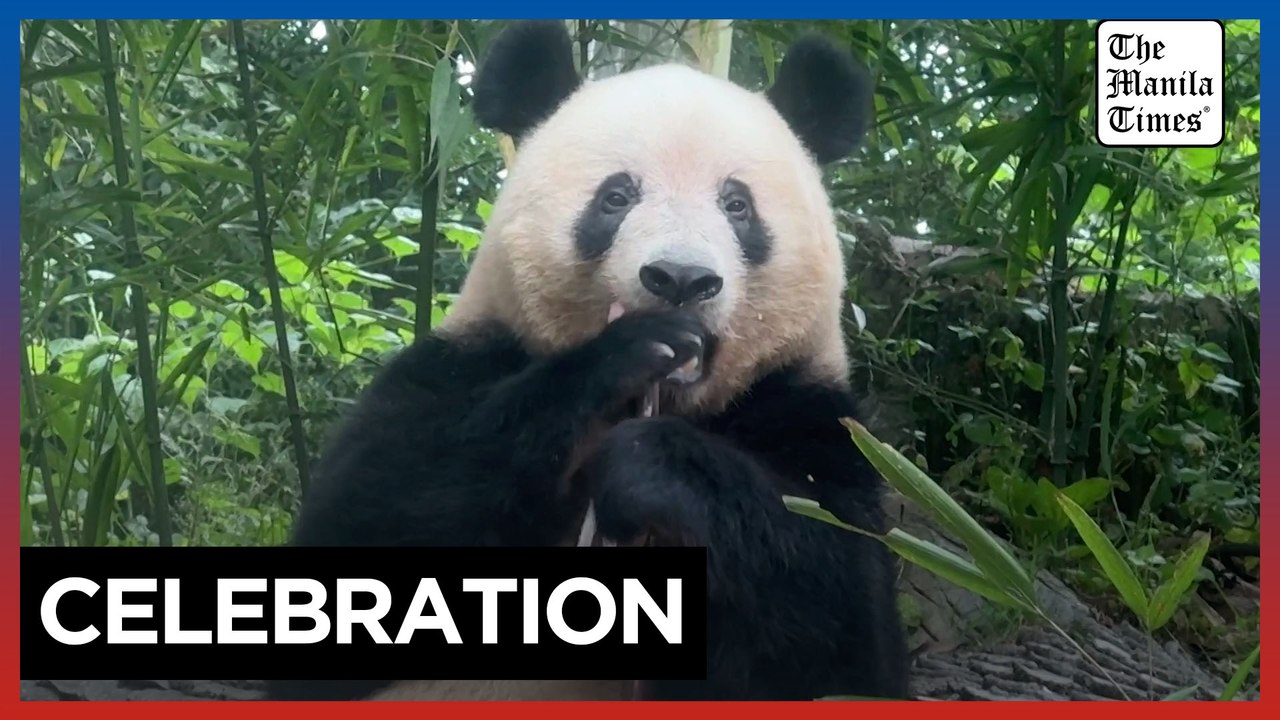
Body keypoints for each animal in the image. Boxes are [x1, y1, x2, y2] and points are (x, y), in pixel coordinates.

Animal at [267, 20, 909, 702]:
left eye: (737, 206)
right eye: (617, 197)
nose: (679, 279)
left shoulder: (808, 412)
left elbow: (841, 633)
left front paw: (652, 465)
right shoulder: (462, 364)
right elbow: (355, 535)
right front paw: (627, 351)